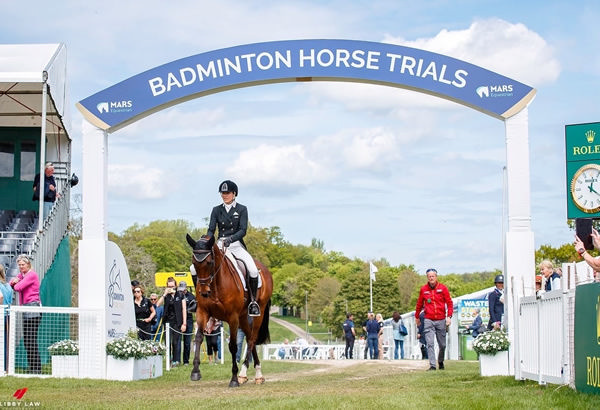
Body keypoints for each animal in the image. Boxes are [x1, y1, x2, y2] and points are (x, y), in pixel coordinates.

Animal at [185, 234, 274, 388]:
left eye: (209, 262)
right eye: (194, 263)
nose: (204, 292)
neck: (215, 285)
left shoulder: (232, 318)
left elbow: (233, 346)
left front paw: (233, 379)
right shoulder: (203, 312)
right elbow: (198, 338)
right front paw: (195, 372)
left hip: (259, 313)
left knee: (252, 339)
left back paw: (245, 374)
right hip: (243, 317)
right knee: (249, 337)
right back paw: (255, 374)